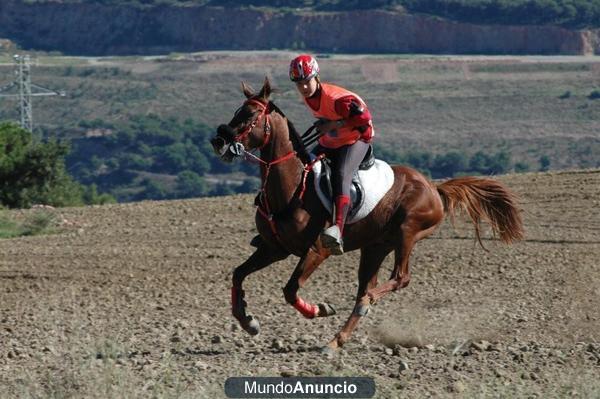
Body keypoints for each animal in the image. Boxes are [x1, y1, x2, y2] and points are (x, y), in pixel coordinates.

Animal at [211, 78, 524, 354]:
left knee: (399, 278)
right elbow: (238, 274)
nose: (218, 139)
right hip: (375, 247)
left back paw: (363, 304)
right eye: (236, 111)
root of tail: (434, 188)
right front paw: (248, 321)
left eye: (250, 115)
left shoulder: (316, 250)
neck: (292, 186)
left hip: (408, 232)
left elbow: (290, 289)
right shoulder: (274, 248)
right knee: (367, 286)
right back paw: (336, 340)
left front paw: (320, 309)